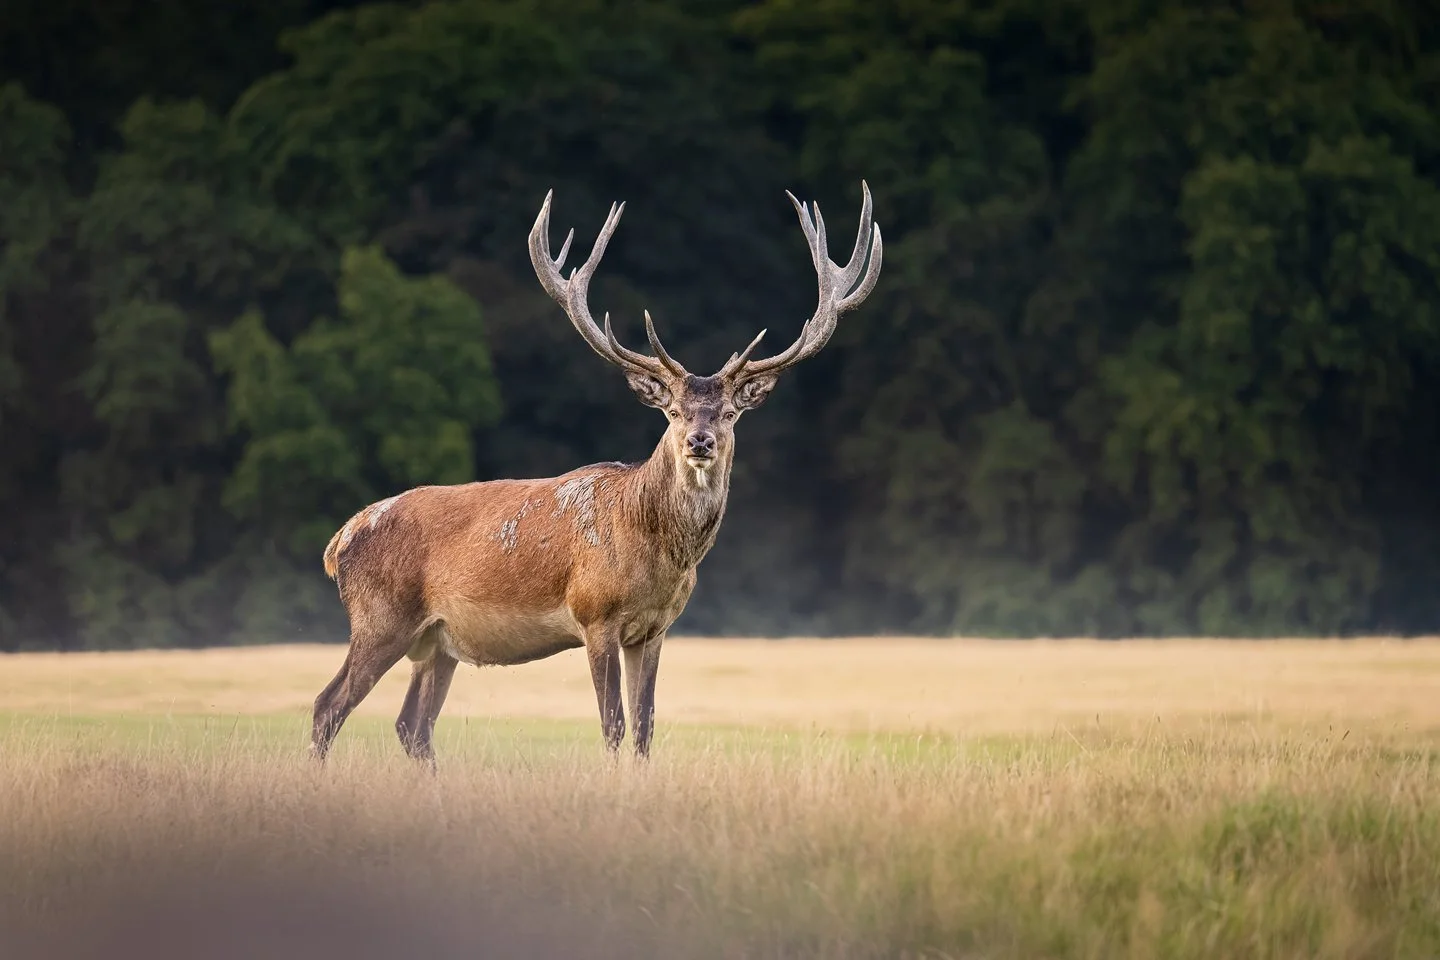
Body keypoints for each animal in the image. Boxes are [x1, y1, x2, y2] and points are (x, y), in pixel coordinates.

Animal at [310, 182, 883, 767]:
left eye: (728, 412)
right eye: (671, 411)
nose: (699, 441)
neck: (658, 553)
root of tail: (340, 541)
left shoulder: (654, 630)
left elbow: (645, 728)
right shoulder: (595, 615)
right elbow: (613, 725)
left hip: (438, 641)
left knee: (412, 725)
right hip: (381, 617)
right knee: (328, 705)